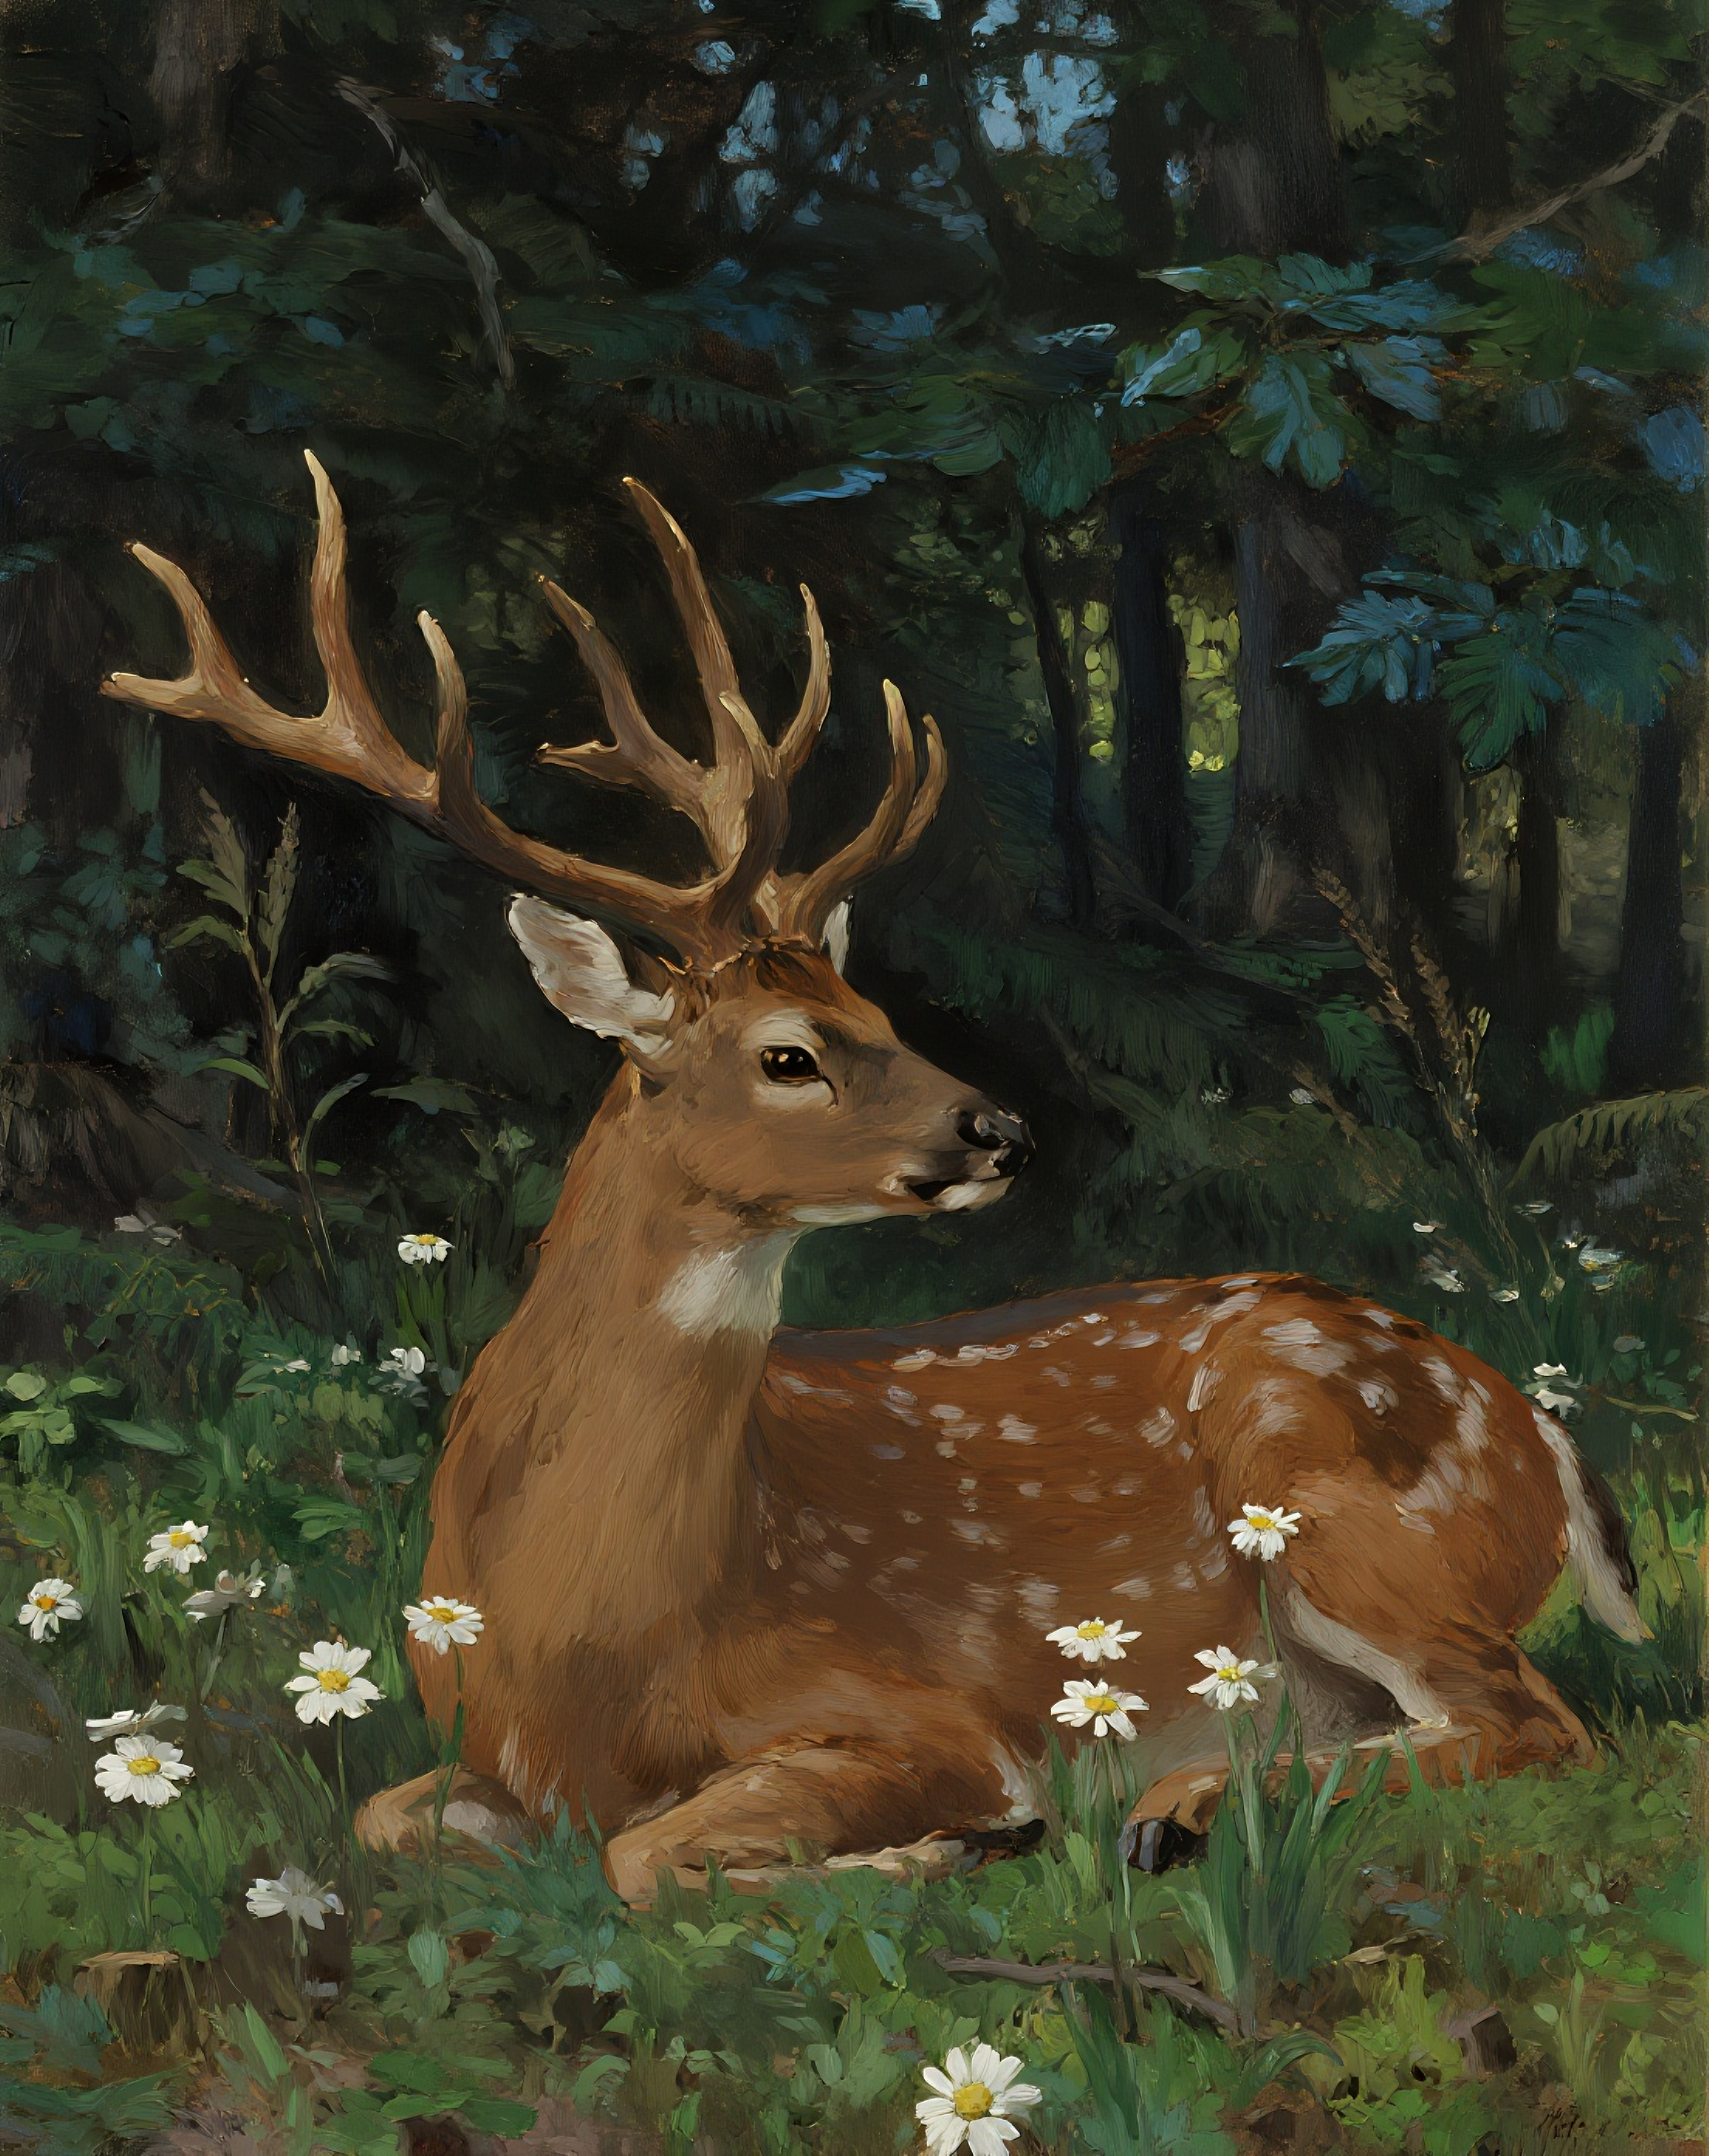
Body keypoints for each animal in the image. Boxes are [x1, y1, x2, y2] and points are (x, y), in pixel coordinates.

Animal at [104, 450, 1644, 1901]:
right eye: (791, 1052)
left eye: (877, 1010)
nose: (1000, 1130)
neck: (581, 1629)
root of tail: (1538, 1432)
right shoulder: (478, 1756)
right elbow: (386, 1820)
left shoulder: (929, 1714)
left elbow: (643, 1858)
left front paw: (955, 1844)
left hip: (1341, 1503)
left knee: (1538, 1722)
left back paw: (1173, 1809)